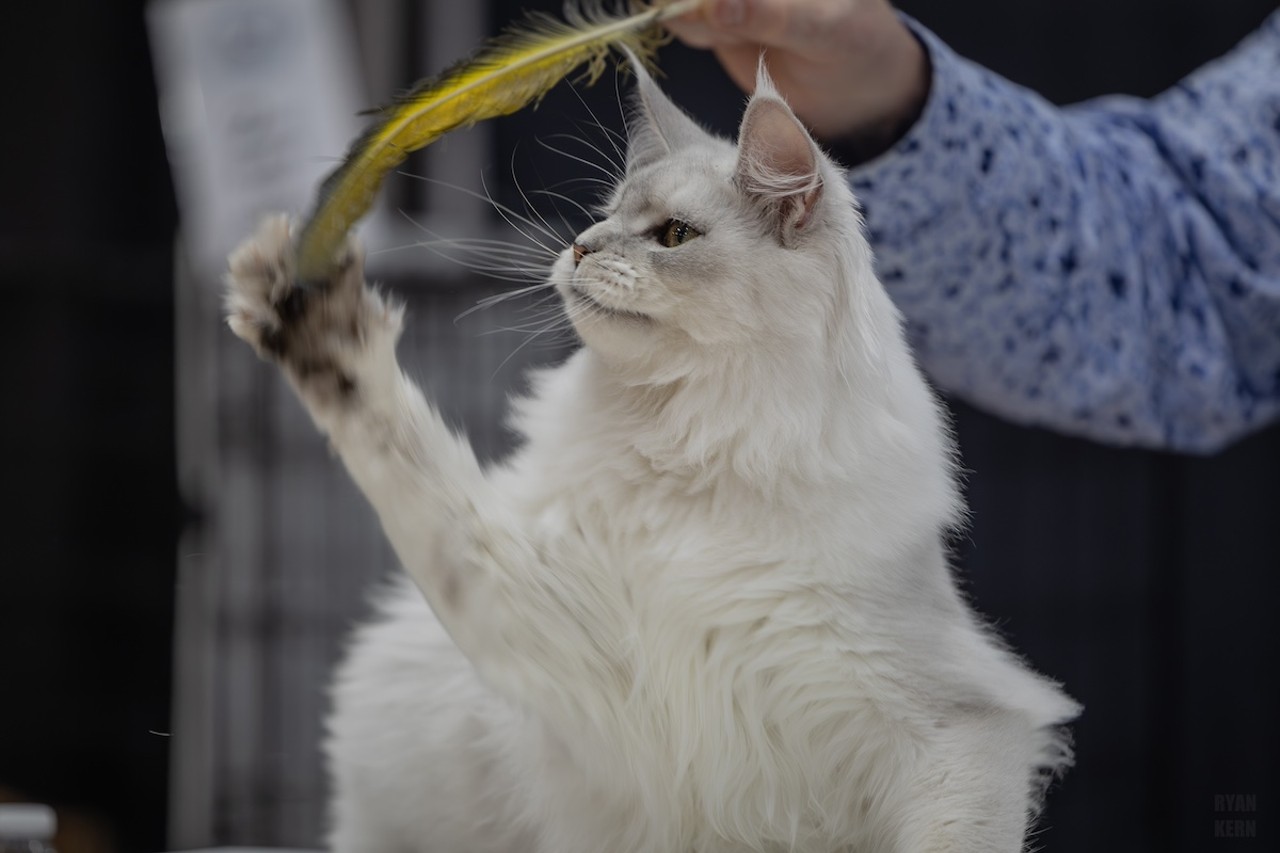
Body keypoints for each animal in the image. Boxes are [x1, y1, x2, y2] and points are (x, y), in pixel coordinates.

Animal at [225, 63, 1075, 845]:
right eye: (604, 218)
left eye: (672, 236)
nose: (578, 247)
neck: (694, 458)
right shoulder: (552, 627)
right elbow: (396, 446)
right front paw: (304, 309)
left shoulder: (958, 726)